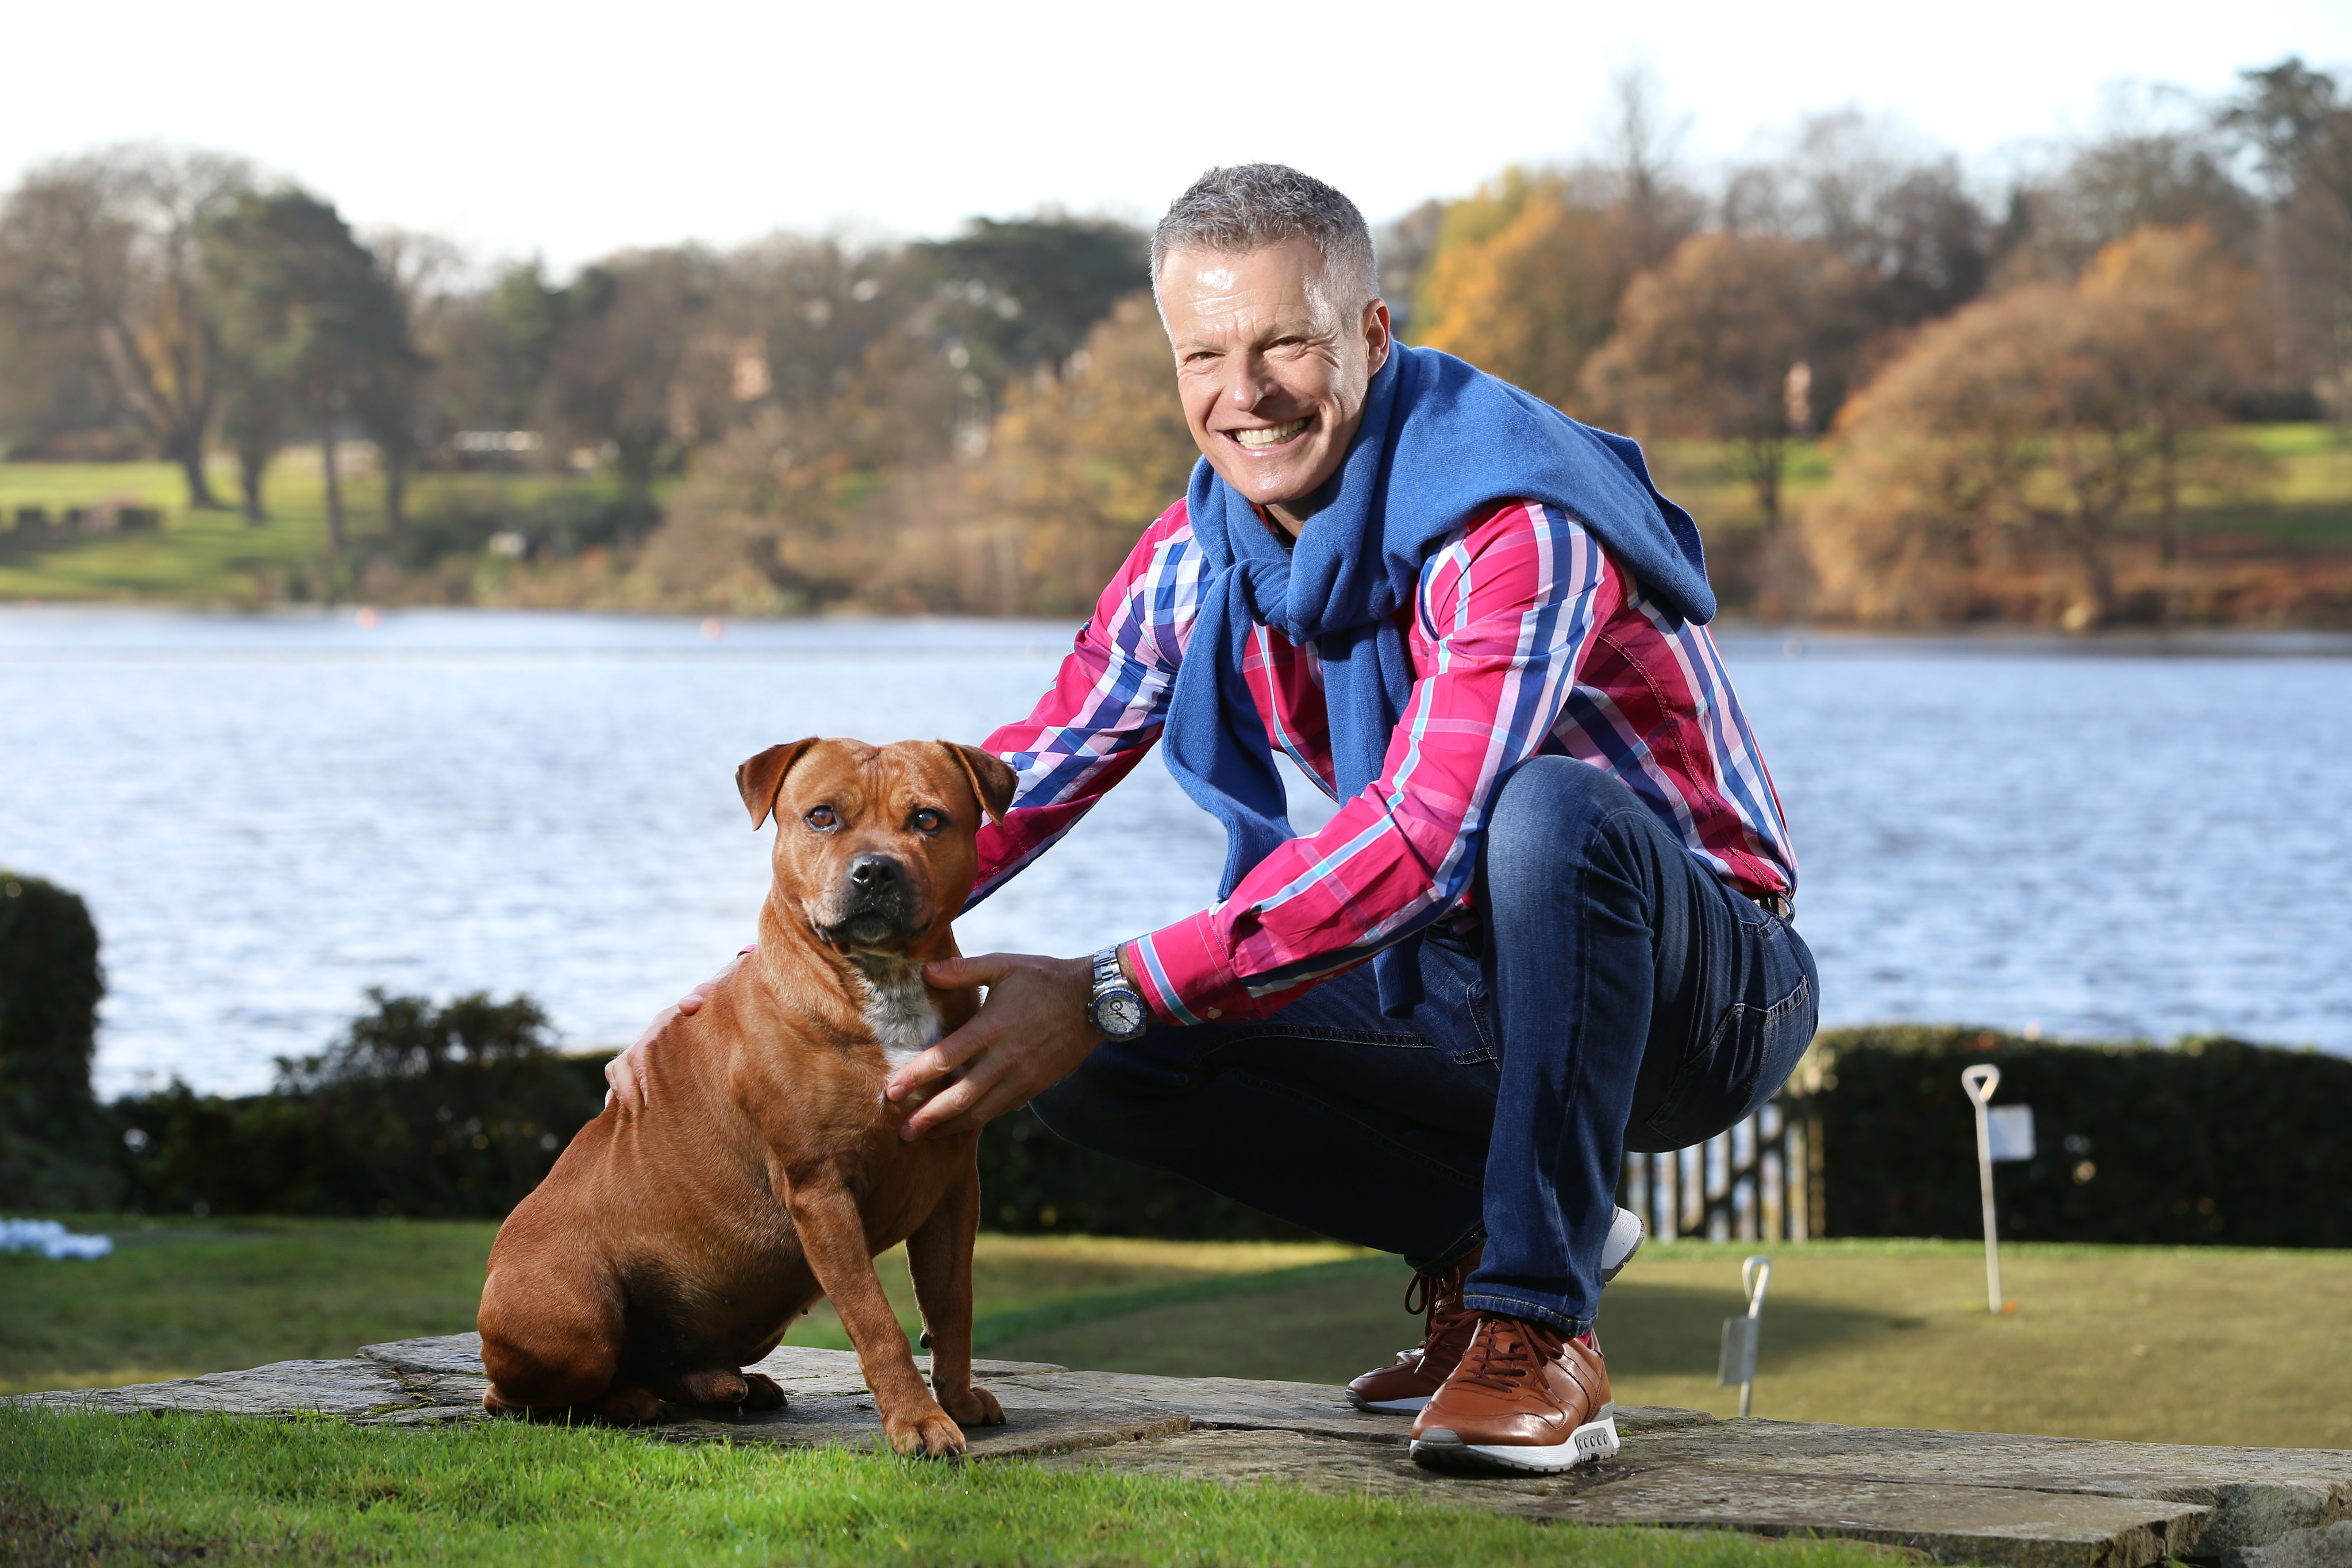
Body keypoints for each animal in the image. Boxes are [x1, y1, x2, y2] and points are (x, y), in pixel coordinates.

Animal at [480, 738, 1020, 1457]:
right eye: (822, 816)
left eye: (928, 820)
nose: (875, 870)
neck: (885, 987)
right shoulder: (821, 1191)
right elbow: (877, 1321)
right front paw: (919, 1422)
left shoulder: (953, 1185)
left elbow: (951, 1306)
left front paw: (956, 1400)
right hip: (575, 1315)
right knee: (520, 1398)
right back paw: (625, 1401)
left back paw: (724, 1387)